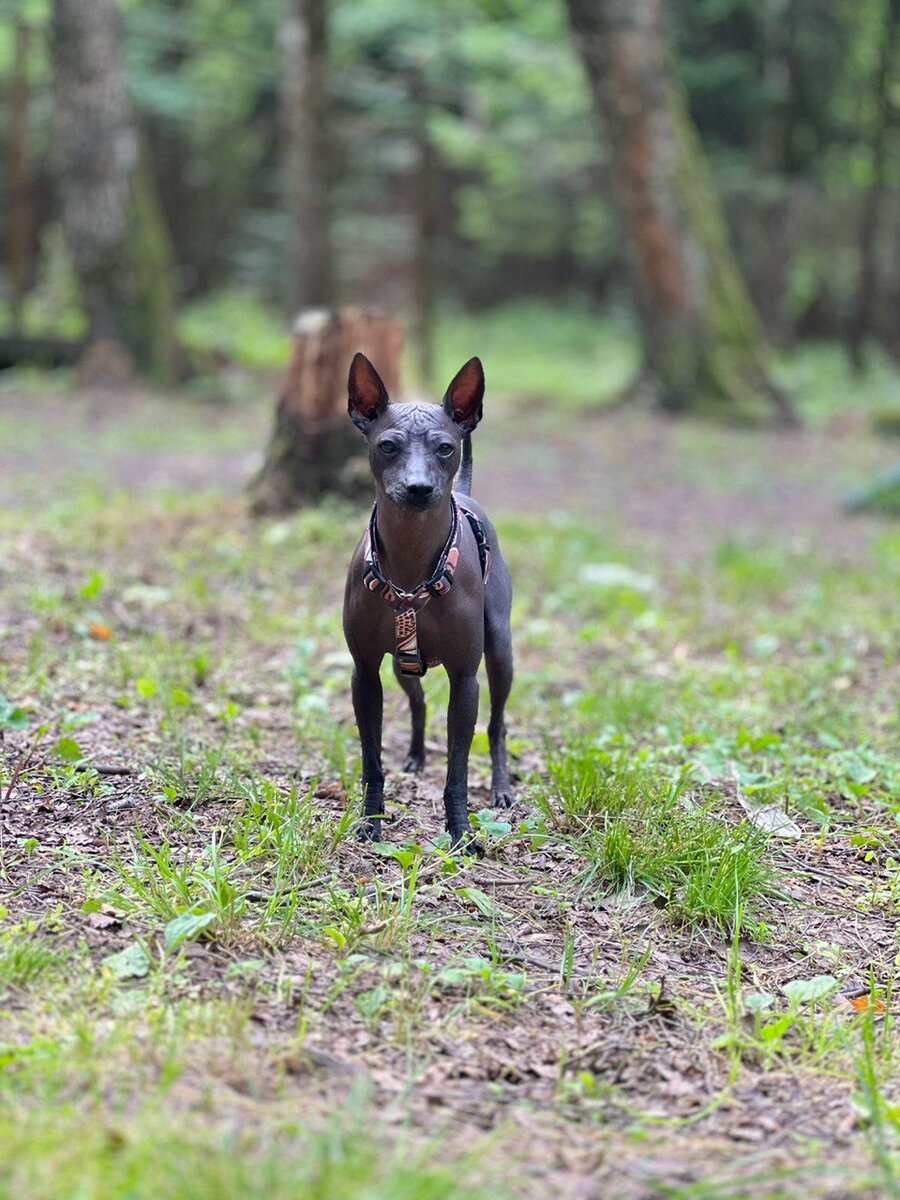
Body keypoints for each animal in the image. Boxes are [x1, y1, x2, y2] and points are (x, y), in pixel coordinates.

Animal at [343, 350, 513, 849]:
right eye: (387, 446)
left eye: (445, 448)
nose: (418, 488)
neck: (411, 562)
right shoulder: (364, 674)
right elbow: (372, 760)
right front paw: (370, 822)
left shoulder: (466, 679)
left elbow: (457, 770)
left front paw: (460, 832)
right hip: (402, 665)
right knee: (417, 703)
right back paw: (416, 756)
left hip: (500, 654)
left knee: (498, 724)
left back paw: (501, 787)